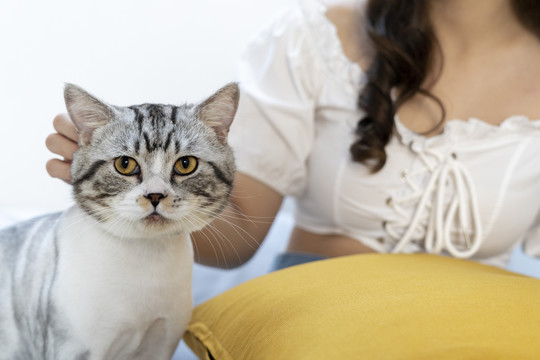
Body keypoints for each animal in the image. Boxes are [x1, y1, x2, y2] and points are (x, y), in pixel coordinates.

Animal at [0, 82, 238, 360]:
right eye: (125, 164)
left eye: (186, 164)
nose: (155, 195)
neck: (146, 263)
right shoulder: (75, 348)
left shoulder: (161, 343)